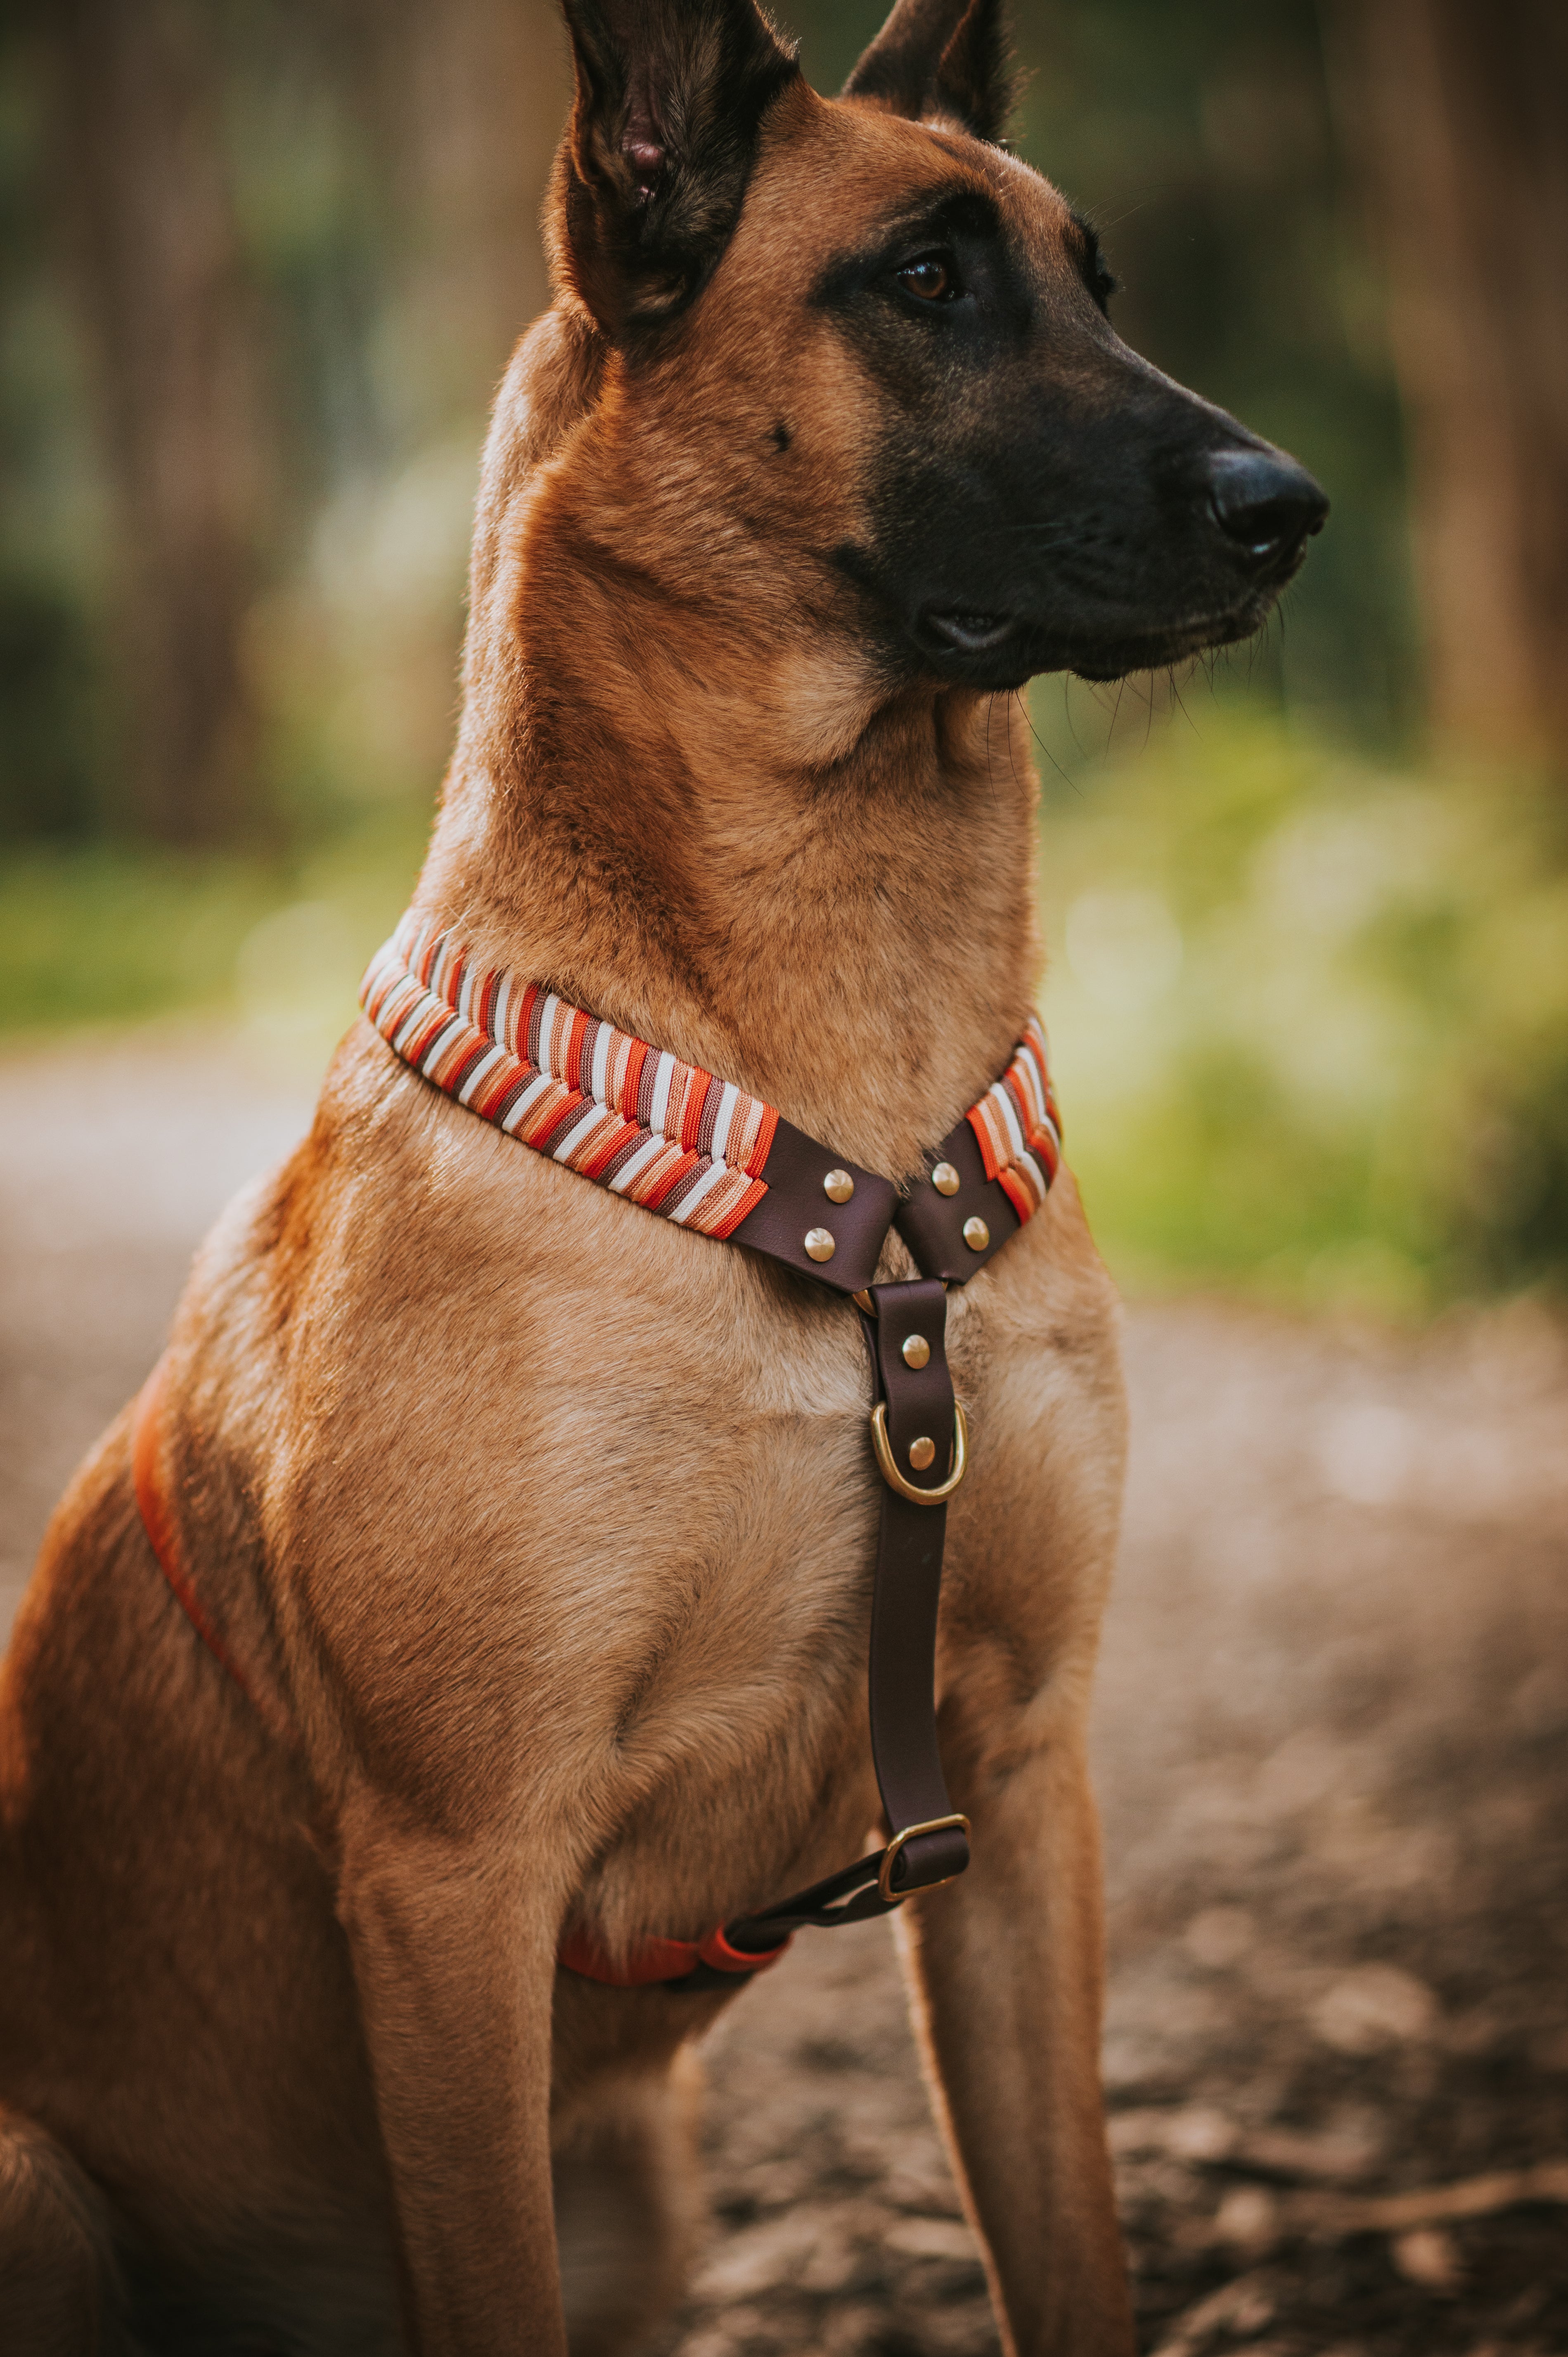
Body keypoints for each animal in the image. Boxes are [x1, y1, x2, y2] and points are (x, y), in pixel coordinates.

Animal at [0, 5, 1320, 2357]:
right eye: (923, 279)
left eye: (1100, 281)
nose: (1291, 510)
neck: (833, 1080)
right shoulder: (457, 1874)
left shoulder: (1021, 1784)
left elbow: (1068, 2245)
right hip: (42, 2184)